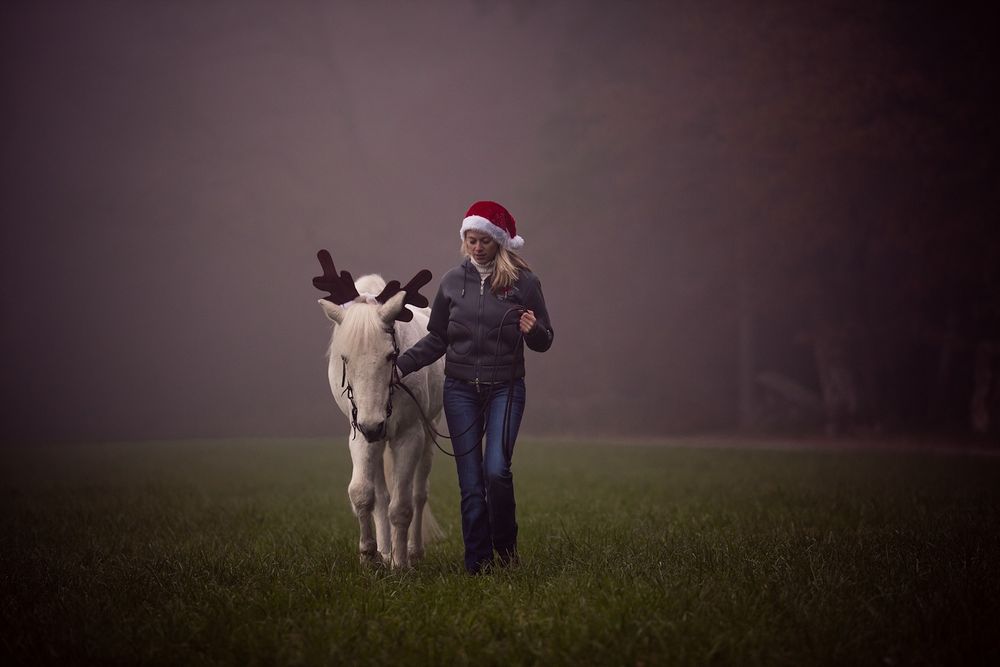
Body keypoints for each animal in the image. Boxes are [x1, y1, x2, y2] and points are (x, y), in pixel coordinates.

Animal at [320, 274, 446, 568]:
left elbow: (402, 505)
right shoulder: (360, 435)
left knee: (419, 493)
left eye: (390, 355)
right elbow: (362, 493)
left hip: (429, 431)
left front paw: (401, 564)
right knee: (381, 496)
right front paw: (369, 555)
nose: (373, 426)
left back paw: (412, 551)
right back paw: (385, 551)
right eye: (345, 358)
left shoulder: (409, 436)